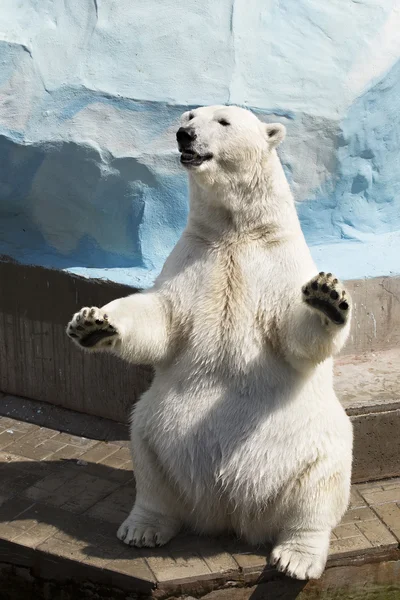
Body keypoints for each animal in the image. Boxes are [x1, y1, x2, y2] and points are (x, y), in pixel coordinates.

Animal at [67, 104, 352, 580]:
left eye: (224, 122)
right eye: (188, 114)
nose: (184, 135)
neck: (237, 229)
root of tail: (230, 511)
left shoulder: (276, 262)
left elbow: (294, 336)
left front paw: (327, 298)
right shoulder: (196, 254)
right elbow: (161, 319)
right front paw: (93, 323)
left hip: (312, 443)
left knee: (318, 489)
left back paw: (296, 556)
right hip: (159, 430)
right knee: (148, 464)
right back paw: (143, 527)